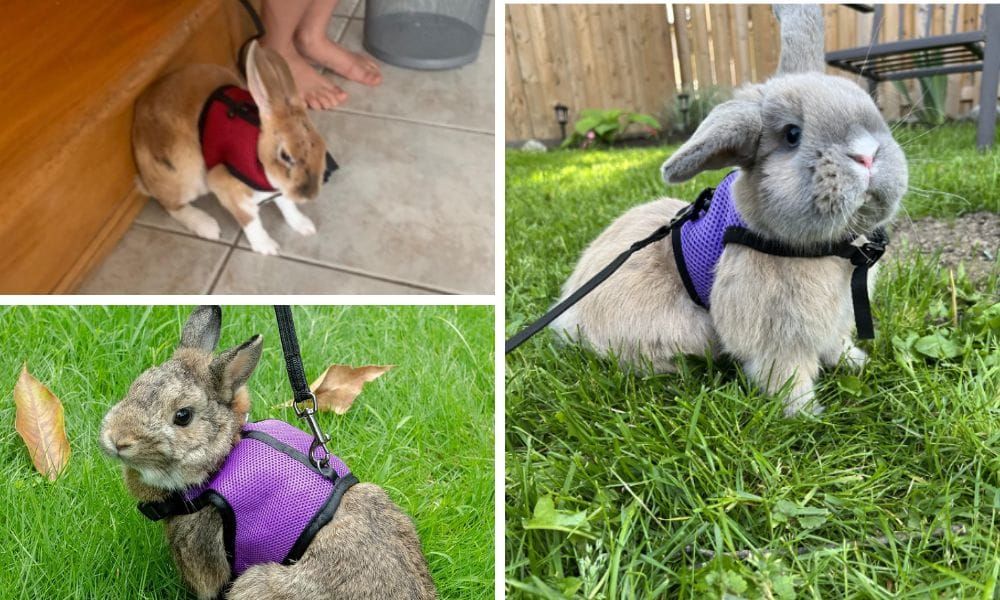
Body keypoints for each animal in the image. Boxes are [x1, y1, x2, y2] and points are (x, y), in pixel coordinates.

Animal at [133, 41, 329, 256]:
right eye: (285, 156)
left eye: (322, 146)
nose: (310, 195)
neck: (257, 152)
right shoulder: (225, 187)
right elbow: (250, 221)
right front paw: (267, 247)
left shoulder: (279, 190)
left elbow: (287, 205)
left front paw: (304, 226)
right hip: (186, 175)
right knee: (170, 204)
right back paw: (207, 226)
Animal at [551, 5, 907, 416]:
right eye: (792, 134)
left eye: (872, 108)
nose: (867, 154)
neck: (831, 248)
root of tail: (569, 312)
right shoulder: (777, 336)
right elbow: (787, 372)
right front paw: (804, 413)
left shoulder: (835, 318)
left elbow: (836, 344)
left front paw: (854, 361)